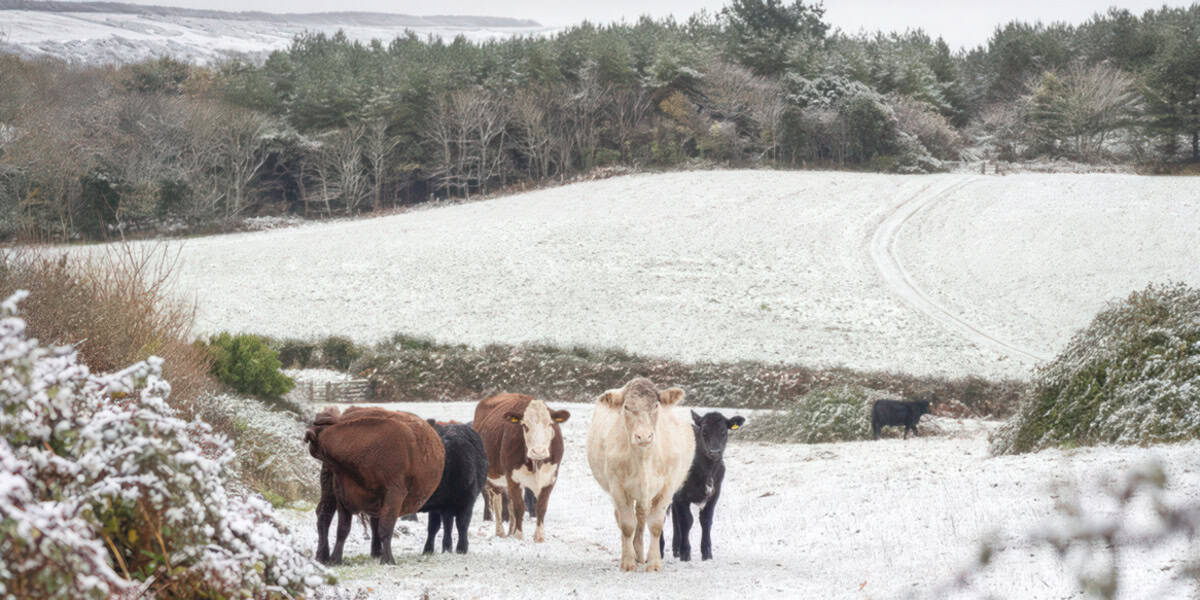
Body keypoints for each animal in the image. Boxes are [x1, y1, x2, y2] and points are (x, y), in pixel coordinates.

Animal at [304, 405, 446, 564]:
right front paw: (335, 559)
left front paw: (388, 559)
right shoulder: (342, 494)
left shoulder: (394, 494)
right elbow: (343, 529)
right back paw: (323, 555)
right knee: (325, 514)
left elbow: (385, 527)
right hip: (330, 490)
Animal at [472, 393, 571, 544]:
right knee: (497, 502)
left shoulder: (550, 478)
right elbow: (519, 507)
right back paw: (501, 532)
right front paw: (519, 536)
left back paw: (510, 531)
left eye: (550, 424)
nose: (538, 451)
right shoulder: (513, 478)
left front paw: (539, 537)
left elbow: (541, 507)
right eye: (524, 425)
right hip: (493, 478)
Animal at [588, 376, 696, 568]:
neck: (643, 459)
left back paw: (639, 553)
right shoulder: (617, 487)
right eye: (626, 407)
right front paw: (628, 562)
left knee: (641, 517)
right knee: (624, 518)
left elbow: (655, 525)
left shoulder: (666, 488)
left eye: (656, 405)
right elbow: (627, 525)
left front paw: (653, 563)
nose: (644, 436)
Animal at [662, 410, 744, 559]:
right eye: (704, 431)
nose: (714, 452)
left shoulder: (714, 494)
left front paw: (707, 552)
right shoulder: (682, 495)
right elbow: (687, 521)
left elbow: (706, 520)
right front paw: (686, 552)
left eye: (723, 431)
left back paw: (676, 548)